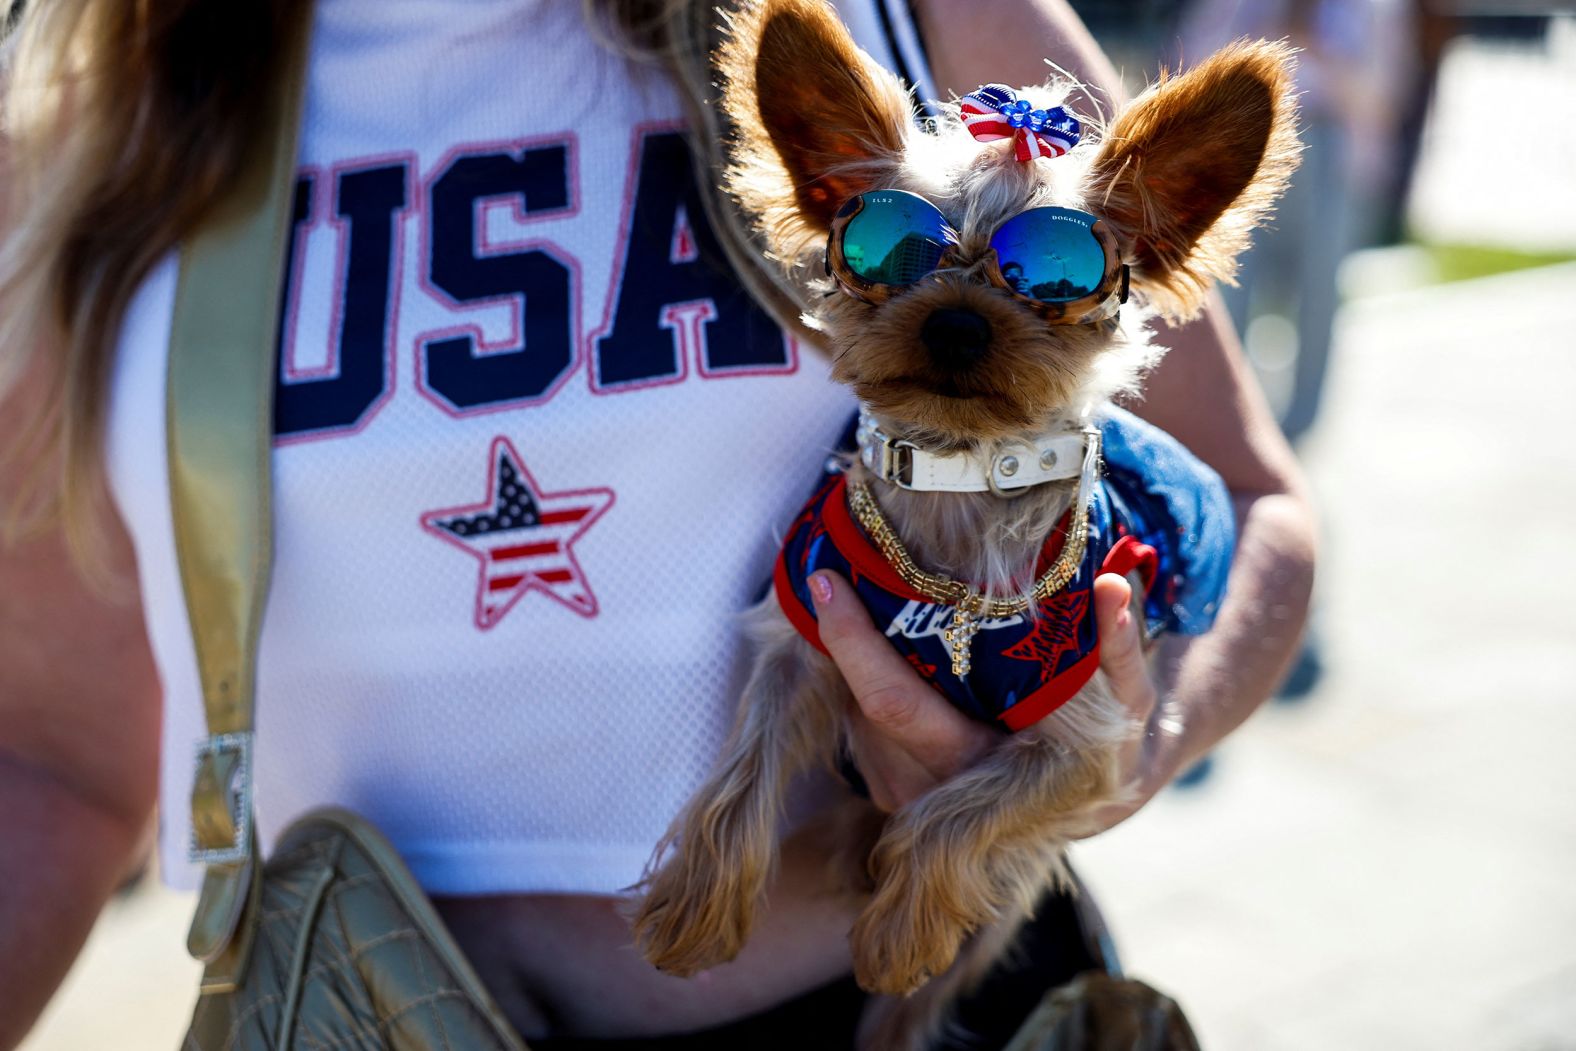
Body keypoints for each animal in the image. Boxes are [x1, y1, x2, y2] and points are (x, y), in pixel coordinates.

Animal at [633, 4, 1298, 1046]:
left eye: (1055, 282)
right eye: (883, 252)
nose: (955, 322)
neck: (960, 480)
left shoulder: (1087, 742)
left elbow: (957, 815)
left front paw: (900, 930)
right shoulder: (798, 635)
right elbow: (744, 771)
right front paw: (694, 909)